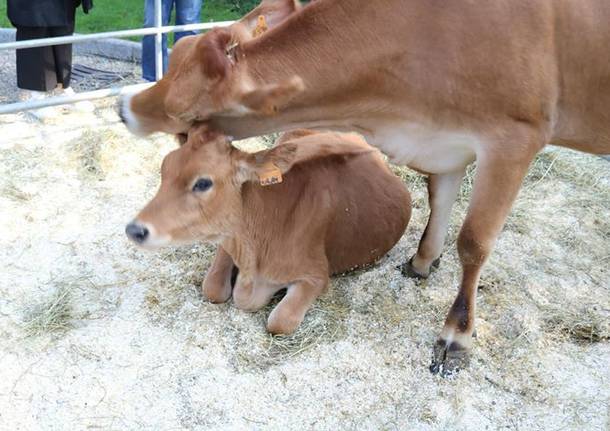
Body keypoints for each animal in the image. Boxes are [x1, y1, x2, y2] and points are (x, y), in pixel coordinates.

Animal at [124, 128, 408, 334]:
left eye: (203, 183)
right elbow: (212, 288)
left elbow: (279, 322)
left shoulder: (316, 276)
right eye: (164, 168)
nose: (134, 229)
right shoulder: (228, 239)